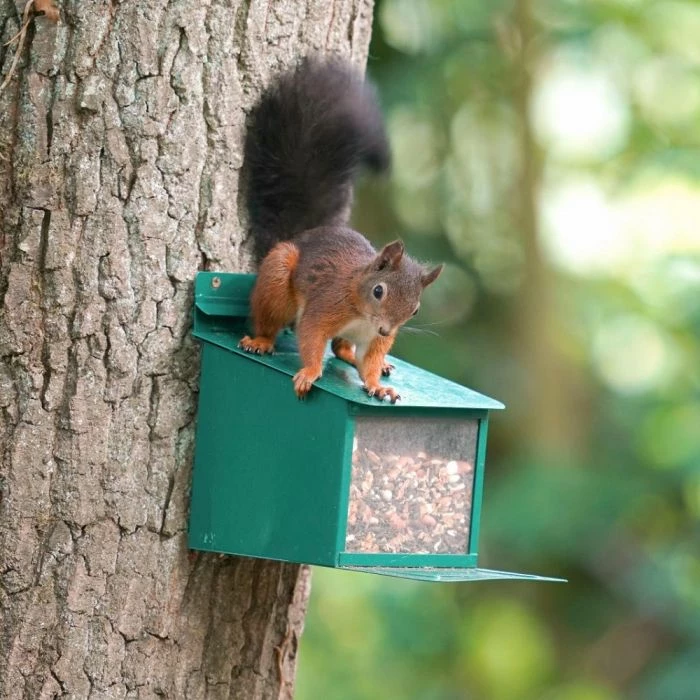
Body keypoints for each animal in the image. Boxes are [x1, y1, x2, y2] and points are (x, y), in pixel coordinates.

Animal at [239, 57, 443, 403]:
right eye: (379, 291)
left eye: (415, 310)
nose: (387, 330)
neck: (362, 314)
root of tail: (304, 234)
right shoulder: (324, 307)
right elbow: (311, 337)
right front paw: (309, 373)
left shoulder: (373, 340)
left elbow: (368, 362)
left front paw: (377, 385)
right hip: (278, 280)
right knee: (272, 320)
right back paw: (261, 341)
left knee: (341, 348)